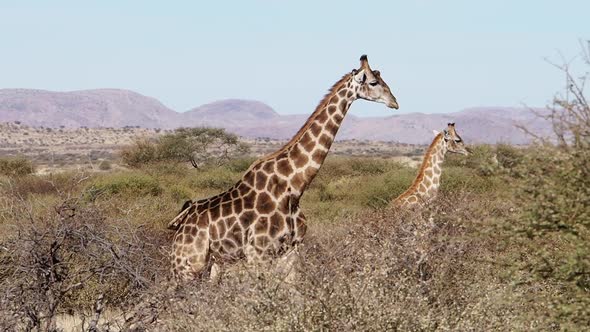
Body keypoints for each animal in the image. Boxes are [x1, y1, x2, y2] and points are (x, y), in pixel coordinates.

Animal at [169, 55, 400, 280]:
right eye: (373, 82)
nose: (395, 102)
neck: (294, 186)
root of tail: (180, 224)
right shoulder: (258, 253)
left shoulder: (291, 250)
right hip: (187, 267)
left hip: (214, 263)